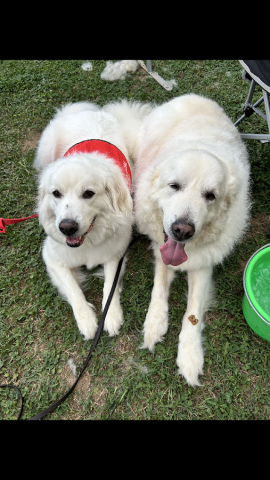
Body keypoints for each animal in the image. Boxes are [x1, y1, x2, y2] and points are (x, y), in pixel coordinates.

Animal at [33, 100, 151, 342]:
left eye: (88, 194)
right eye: (56, 193)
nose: (67, 228)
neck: (87, 241)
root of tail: (89, 112)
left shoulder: (115, 255)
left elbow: (109, 287)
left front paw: (111, 316)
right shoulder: (53, 259)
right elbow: (73, 289)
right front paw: (86, 320)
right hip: (46, 151)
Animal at [134, 94, 250, 386]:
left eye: (210, 195)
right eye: (174, 186)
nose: (182, 230)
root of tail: (193, 96)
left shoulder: (203, 264)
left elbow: (193, 311)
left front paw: (189, 356)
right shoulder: (161, 249)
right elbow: (158, 288)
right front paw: (154, 323)